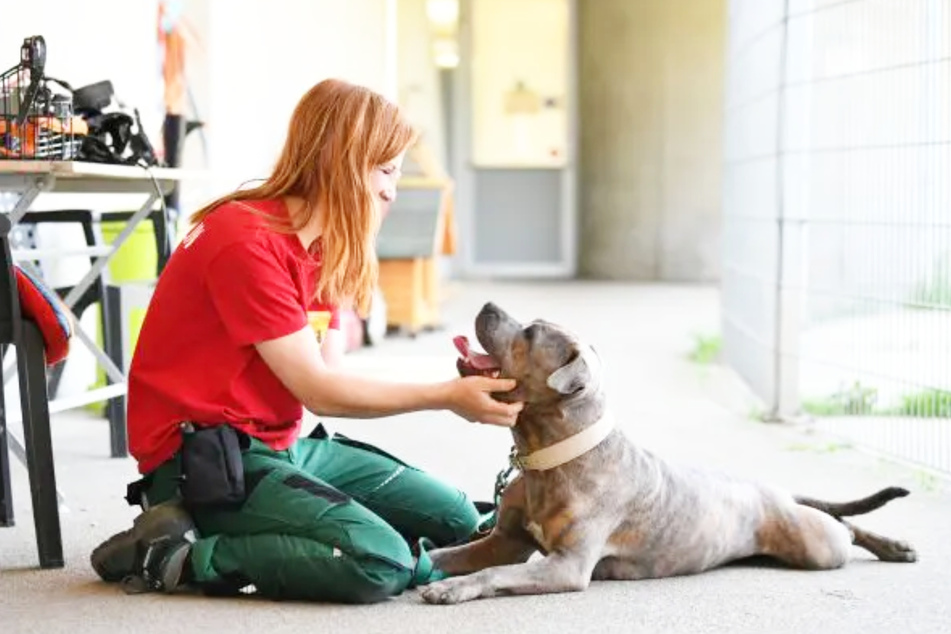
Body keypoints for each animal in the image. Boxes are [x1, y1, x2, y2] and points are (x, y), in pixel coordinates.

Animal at [420, 302, 920, 604]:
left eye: (530, 332)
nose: (488, 305)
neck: (551, 455)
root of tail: (771, 490)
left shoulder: (566, 566)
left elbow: (493, 575)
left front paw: (454, 588)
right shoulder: (504, 541)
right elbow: (441, 555)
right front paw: (431, 567)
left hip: (817, 546)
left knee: (845, 528)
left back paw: (893, 547)